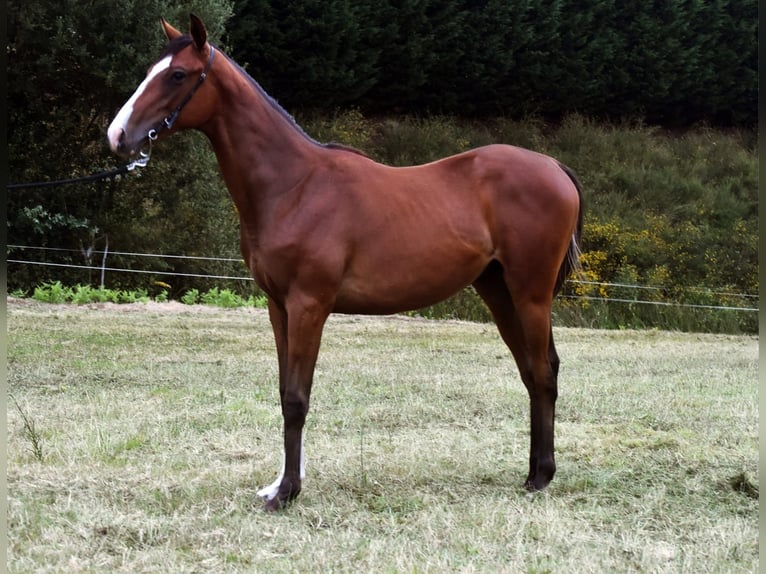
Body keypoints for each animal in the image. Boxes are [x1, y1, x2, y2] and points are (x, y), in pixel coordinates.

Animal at [109, 15, 584, 512]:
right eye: (151, 70)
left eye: (177, 75)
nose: (118, 137)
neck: (294, 185)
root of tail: (554, 166)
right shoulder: (278, 308)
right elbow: (285, 390)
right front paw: (280, 484)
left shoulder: (308, 306)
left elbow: (297, 398)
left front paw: (288, 493)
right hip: (499, 293)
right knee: (532, 371)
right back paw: (532, 472)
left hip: (530, 296)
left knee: (543, 373)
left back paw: (541, 477)